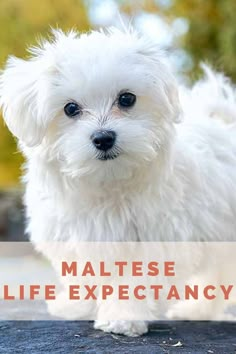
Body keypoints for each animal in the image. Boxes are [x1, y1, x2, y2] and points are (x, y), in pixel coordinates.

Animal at [0, 27, 236, 334]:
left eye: (126, 99)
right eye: (70, 108)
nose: (103, 138)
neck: (108, 183)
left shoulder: (153, 238)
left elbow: (134, 280)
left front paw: (122, 317)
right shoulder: (72, 235)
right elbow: (82, 273)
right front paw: (78, 305)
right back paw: (196, 310)